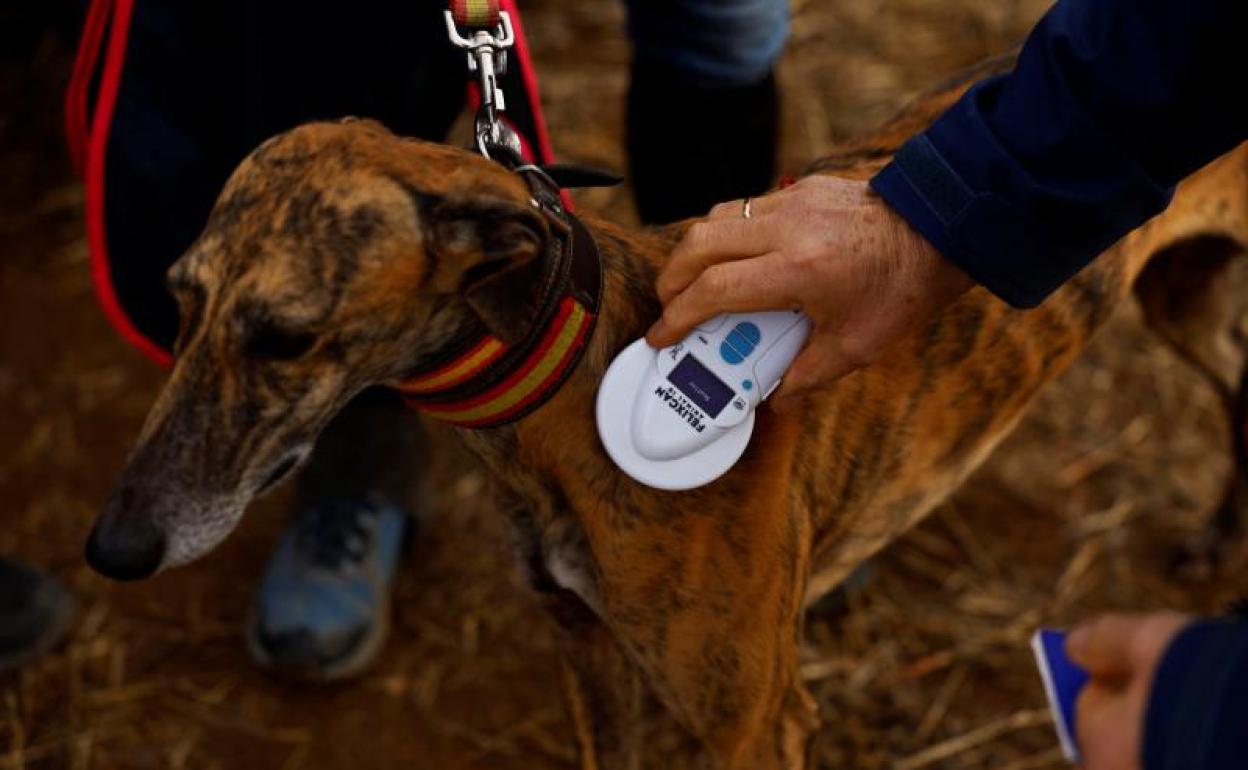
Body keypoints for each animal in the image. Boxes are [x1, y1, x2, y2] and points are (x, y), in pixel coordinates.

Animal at [87, 63, 1248, 763]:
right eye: (179, 301)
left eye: (284, 337)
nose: (111, 548)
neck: (565, 379)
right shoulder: (587, 651)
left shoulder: (758, 723)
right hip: (1178, 297)